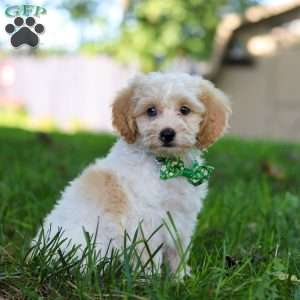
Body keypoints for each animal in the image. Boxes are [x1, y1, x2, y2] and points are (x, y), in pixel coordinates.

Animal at [34, 72, 232, 272]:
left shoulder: (183, 219)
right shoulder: (146, 222)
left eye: (184, 110)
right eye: (151, 111)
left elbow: (179, 252)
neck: (166, 165)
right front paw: (150, 278)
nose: (167, 134)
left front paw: (180, 277)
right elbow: (149, 256)